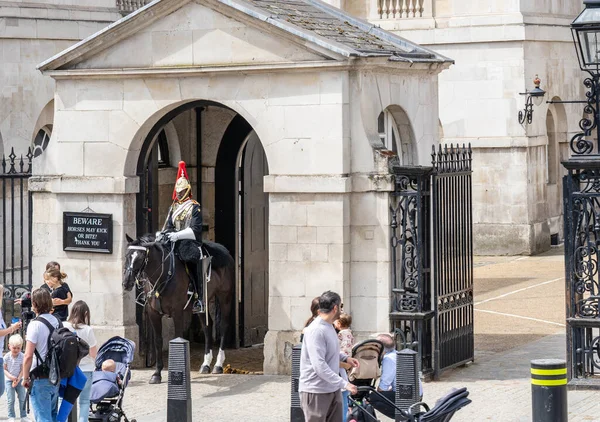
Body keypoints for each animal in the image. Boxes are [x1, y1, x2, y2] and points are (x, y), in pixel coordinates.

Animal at [122, 232, 234, 384]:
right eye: (127, 255)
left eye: (140, 258)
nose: (126, 283)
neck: (163, 275)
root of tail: (226, 252)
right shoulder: (153, 313)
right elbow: (158, 341)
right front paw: (157, 374)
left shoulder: (177, 313)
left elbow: (178, 338)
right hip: (201, 307)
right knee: (207, 328)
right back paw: (205, 364)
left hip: (224, 298)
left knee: (223, 326)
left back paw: (218, 365)